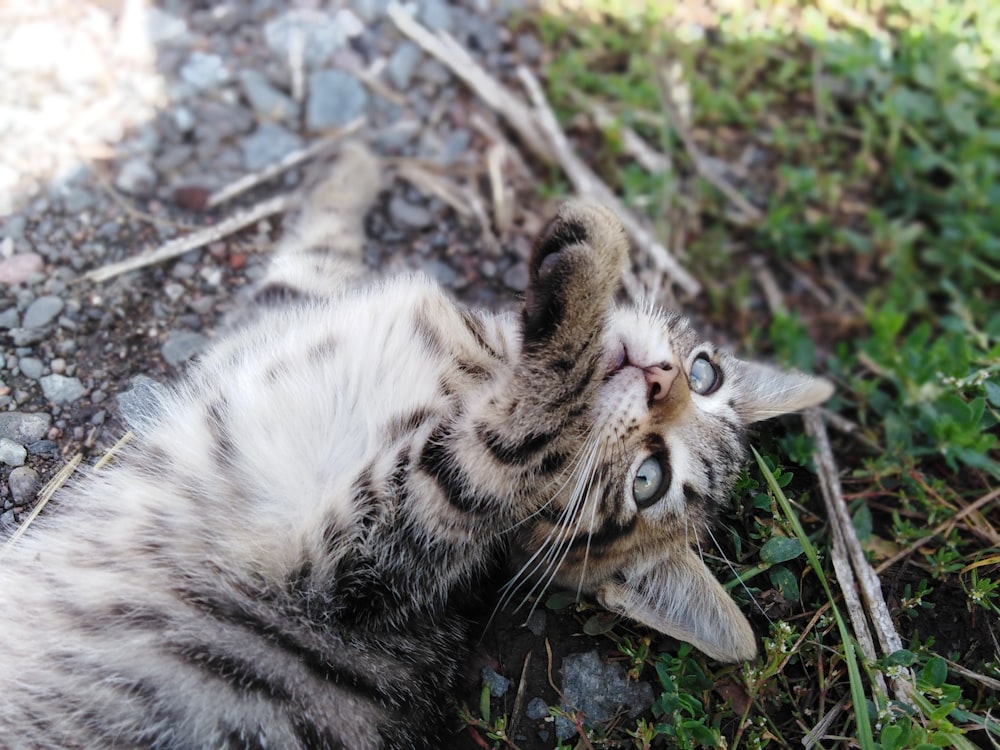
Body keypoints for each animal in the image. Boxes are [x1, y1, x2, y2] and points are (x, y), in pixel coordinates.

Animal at [0, 144, 828, 748]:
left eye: (648, 481)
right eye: (705, 371)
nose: (662, 380)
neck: (486, 356)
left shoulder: (373, 548)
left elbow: (531, 424)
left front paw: (592, 270)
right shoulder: (269, 325)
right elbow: (313, 255)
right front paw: (352, 167)